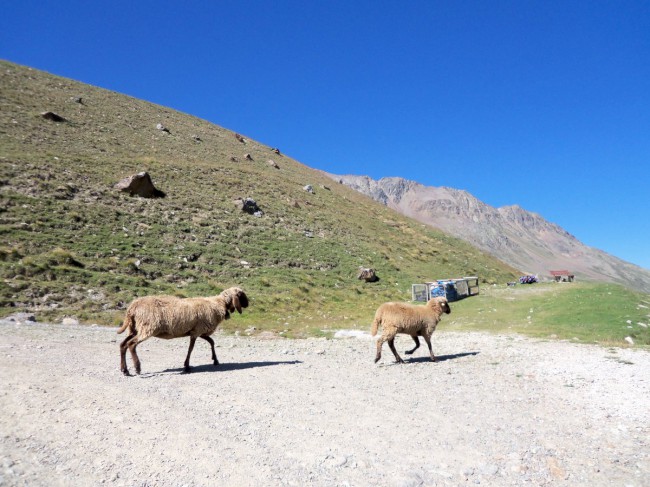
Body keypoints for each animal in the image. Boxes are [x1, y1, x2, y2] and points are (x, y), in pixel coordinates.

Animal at [116, 286, 248, 378]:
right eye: (241, 295)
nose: (248, 304)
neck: (218, 304)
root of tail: (132, 307)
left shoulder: (198, 330)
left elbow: (211, 342)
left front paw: (215, 360)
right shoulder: (197, 331)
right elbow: (191, 349)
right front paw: (187, 366)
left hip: (134, 328)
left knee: (123, 345)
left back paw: (125, 370)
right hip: (148, 327)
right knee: (131, 344)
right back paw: (137, 368)